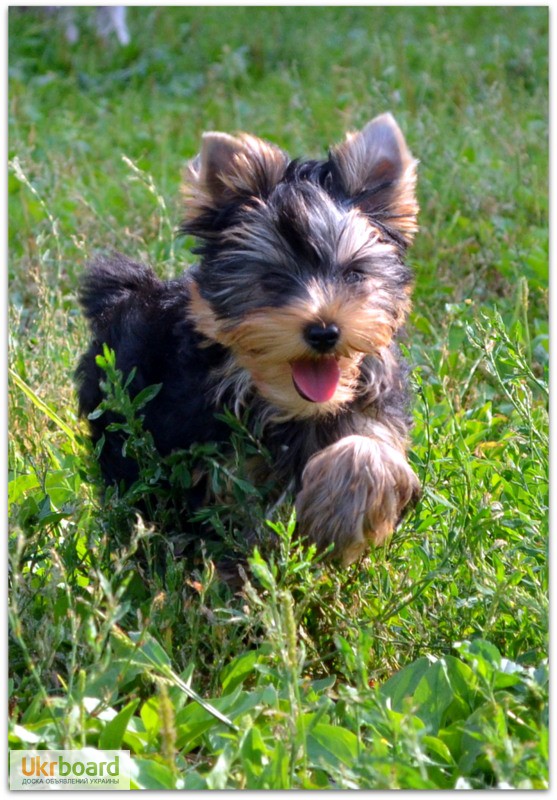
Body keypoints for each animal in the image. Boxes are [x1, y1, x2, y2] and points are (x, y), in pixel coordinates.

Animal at [77, 112, 416, 564]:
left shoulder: (374, 410)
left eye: (353, 275)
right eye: (272, 280)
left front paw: (333, 521)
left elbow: (368, 450)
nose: (324, 330)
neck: (289, 406)